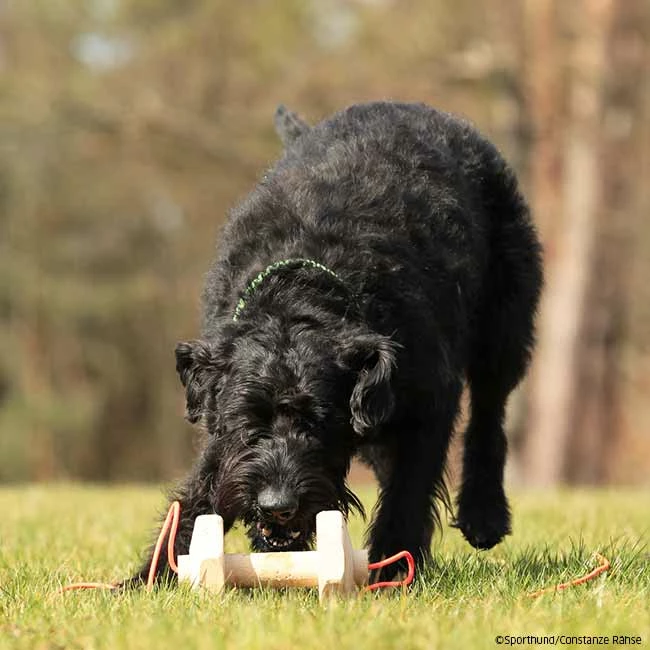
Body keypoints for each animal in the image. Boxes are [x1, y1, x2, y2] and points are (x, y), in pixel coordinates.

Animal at [127, 101, 543, 586]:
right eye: (249, 424)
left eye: (317, 424)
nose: (277, 506)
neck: (302, 287)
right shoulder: (222, 410)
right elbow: (199, 494)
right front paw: (144, 581)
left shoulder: (428, 402)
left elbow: (409, 490)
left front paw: (390, 569)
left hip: (505, 325)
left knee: (490, 413)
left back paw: (484, 514)